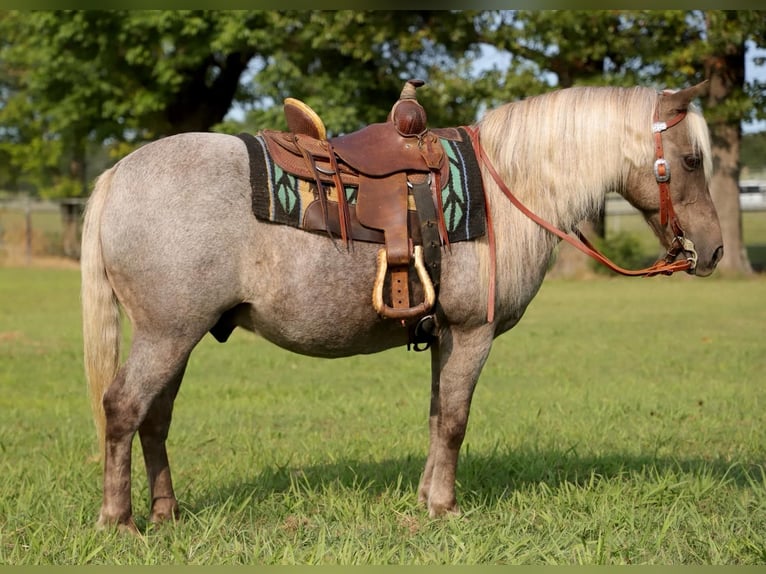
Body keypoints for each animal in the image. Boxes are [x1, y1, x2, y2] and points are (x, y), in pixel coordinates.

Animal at [81, 81, 722, 531]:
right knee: (122, 408)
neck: (505, 189)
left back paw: (165, 513)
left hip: (177, 336)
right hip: (168, 334)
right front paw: (445, 507)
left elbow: (438, 416)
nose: (713, 250)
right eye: (692, 160)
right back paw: (119, 521)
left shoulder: (443, 335)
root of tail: (118, 174)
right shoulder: (471, 333)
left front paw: (423, 499)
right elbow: (457, 420)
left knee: (154, 419)